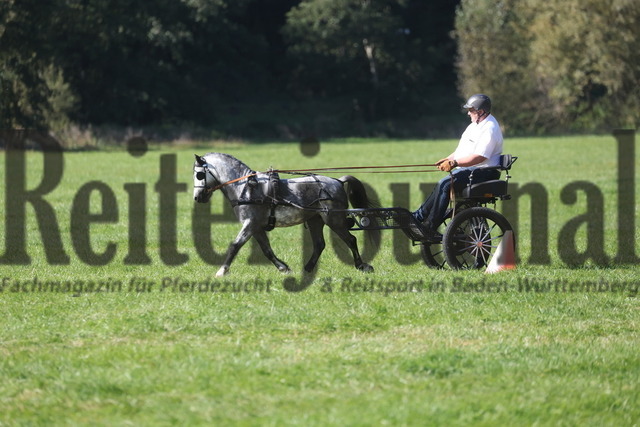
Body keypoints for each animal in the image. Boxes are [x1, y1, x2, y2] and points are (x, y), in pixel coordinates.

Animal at [193, 152, 378, 277]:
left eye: (199, 174)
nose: (197, 197)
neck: (245, 187)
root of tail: (338, 181)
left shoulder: (250, 223)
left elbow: (235, 245)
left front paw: (221, 271)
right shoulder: (256, 227)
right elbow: (266, 249)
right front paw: (283, 268)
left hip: (334, 219)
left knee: (350, 240)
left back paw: (362, 265)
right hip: (315, 220)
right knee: (319, 244)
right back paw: (307, 269)